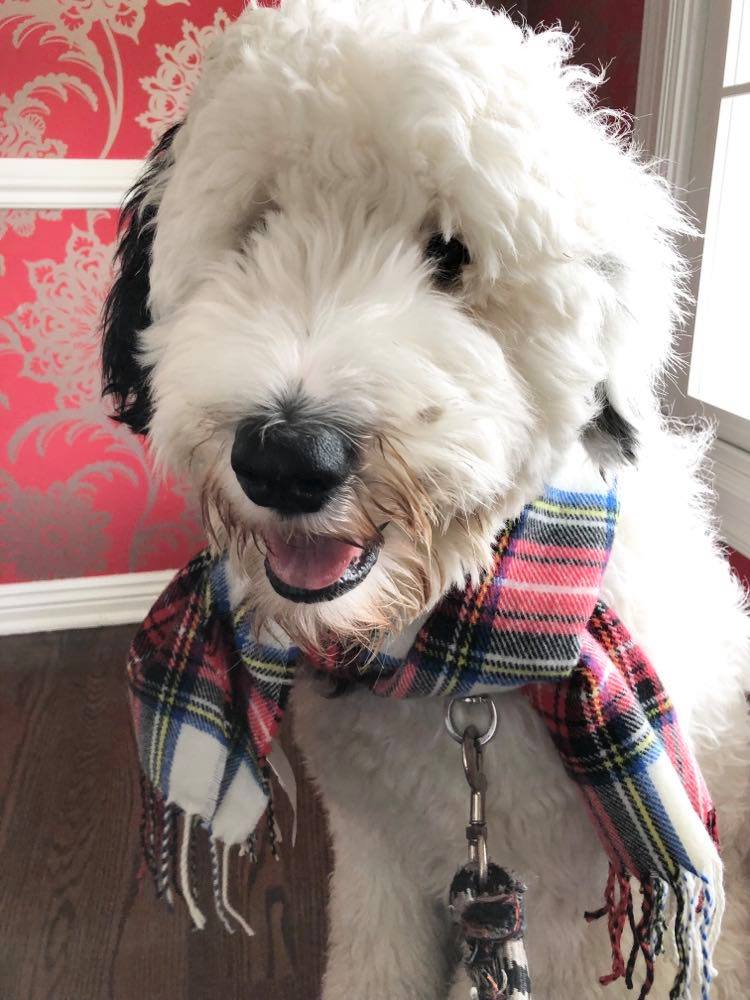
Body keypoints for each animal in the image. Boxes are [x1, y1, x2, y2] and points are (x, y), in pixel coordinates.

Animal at [104, 3, 750, 996]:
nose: (287, 456)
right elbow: (373, 964)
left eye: (451, 254)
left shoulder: (569, 921)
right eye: (257, 228)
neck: (455, 662)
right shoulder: (378, 863)